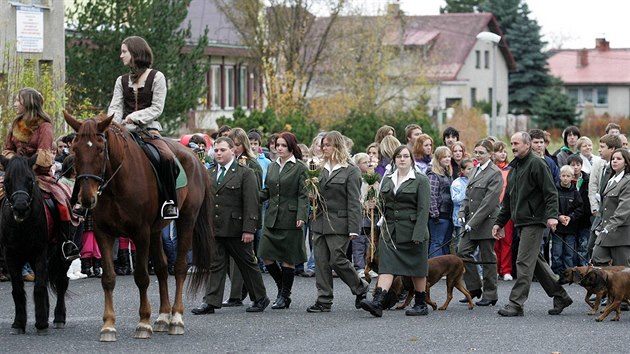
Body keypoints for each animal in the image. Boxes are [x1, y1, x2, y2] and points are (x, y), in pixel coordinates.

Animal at [0, 156, 70, 334]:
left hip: (63, 255)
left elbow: (39, 286)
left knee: (61, 281)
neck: (22, 226)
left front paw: (42, 323)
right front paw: (18, 323)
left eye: (30, 180)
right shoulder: (10, 255)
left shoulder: (40, 252)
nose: (20, 208)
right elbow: (18, 288)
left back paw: (58, 318)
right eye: (7, 181)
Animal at [63, 112, 215, 342]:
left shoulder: (140, 233)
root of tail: (196, 158)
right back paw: (163, 317)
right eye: (75, 149)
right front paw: (108, 325)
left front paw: (143, 322)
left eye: (100, 149)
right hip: (156, 231)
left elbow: (142, 277)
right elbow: (108, 278)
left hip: (186, 221)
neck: (116, 184)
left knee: (179, 267)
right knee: (161, 268)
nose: (86, 198)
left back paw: (176, 318)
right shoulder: (103, 233)